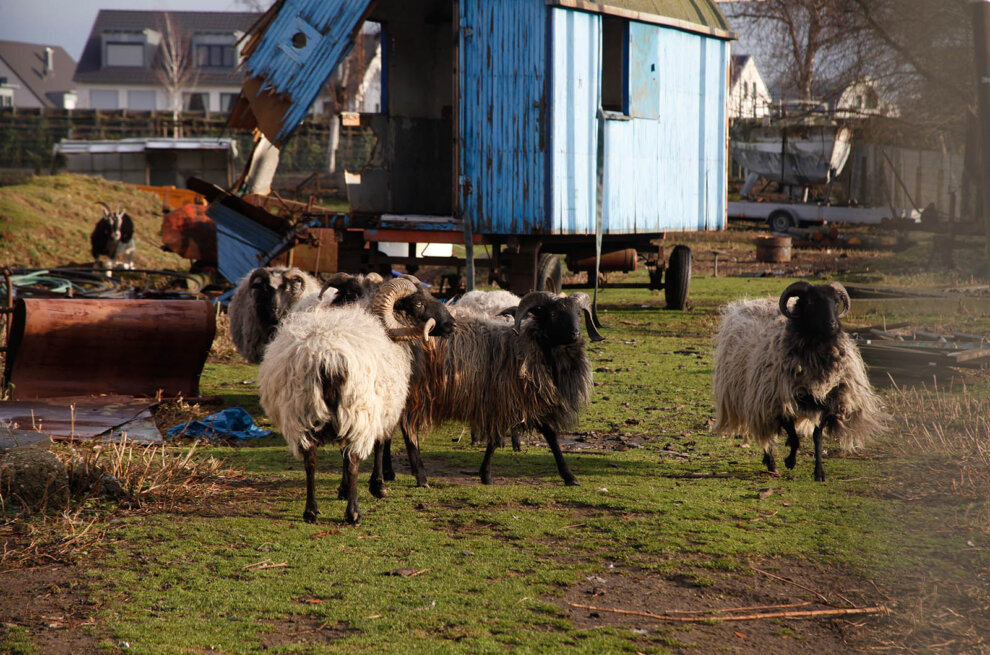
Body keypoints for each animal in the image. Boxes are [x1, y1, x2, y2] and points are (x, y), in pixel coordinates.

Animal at [256, 276, 458, 528]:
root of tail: (327, 356)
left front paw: (342, 490)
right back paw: (353, 513)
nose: (452, 324)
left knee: (310, 460)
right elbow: (381, 444)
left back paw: (311, 511)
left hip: (301, 410)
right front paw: (377, 486)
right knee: (353, 459)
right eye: (419, 304)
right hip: (357, 410)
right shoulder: (384, 408)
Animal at [394, 290, 604, 486]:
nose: (575, 333)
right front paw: (486, 474)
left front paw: (569, 476)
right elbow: (498, 439)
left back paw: (391, 474)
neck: (527, 347)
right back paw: (415, 476)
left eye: (578, 313)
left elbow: (550, 435)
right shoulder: (503, 399)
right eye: (553, 314)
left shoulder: (530, 401)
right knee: (406, 430)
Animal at [712, 282, 884, 482]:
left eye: (836, 301)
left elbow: (817, 437)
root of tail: (751, 302)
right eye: (811, 302)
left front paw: (819, 472)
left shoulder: (828, 401)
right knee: (768, 436)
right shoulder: (778, 402)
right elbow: (793, 436)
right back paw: (772, 463)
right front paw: (790, 461)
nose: (832, 324)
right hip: (758, 400)